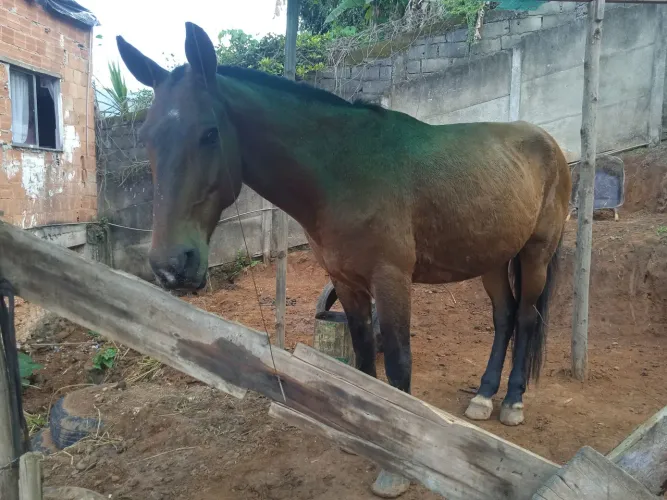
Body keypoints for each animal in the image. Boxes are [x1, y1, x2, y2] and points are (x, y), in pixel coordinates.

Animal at [116, 22, 571, 498]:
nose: (171, 265)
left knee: (526, 318)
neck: (345, 172)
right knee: (503, 317)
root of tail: (548, 142)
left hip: (536, 254)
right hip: (492, 258)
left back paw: (513, 401)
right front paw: (365, 439)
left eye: (209, 133)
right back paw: (483, 396)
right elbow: (364, 360)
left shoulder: (391, 279)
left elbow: (398, 364)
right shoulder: (347, 281)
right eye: (147, 138)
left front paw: (396, 468)